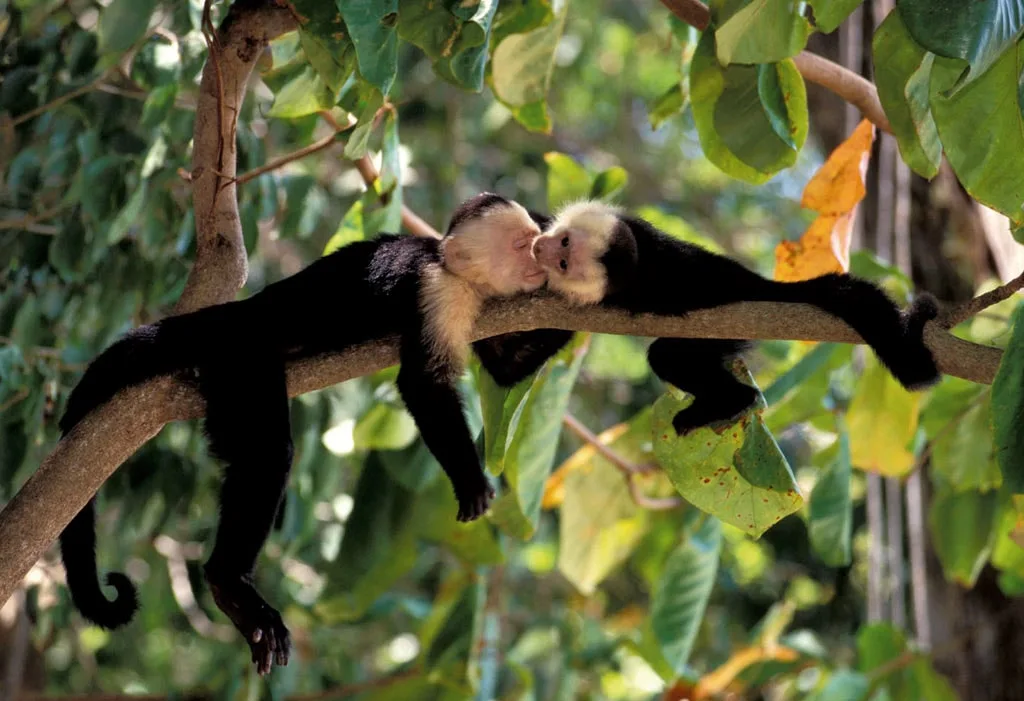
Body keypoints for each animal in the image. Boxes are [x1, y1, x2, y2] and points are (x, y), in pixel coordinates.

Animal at [56, 193, 554, 675]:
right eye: (520, 244)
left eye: (534, 242)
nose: (539, 257)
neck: (453, 269)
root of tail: (240, 312)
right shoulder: (437, 291)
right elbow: (423, 384)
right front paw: (469, 481)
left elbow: (506, 368)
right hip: (242, 357)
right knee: (268, 454)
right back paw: (229, 583)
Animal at [486, 199, 940, 434]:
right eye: (561, 241)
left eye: (565, 259)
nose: (543, 249)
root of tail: (760, 287)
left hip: (728, 321)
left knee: (668, 355)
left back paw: (729, 400)